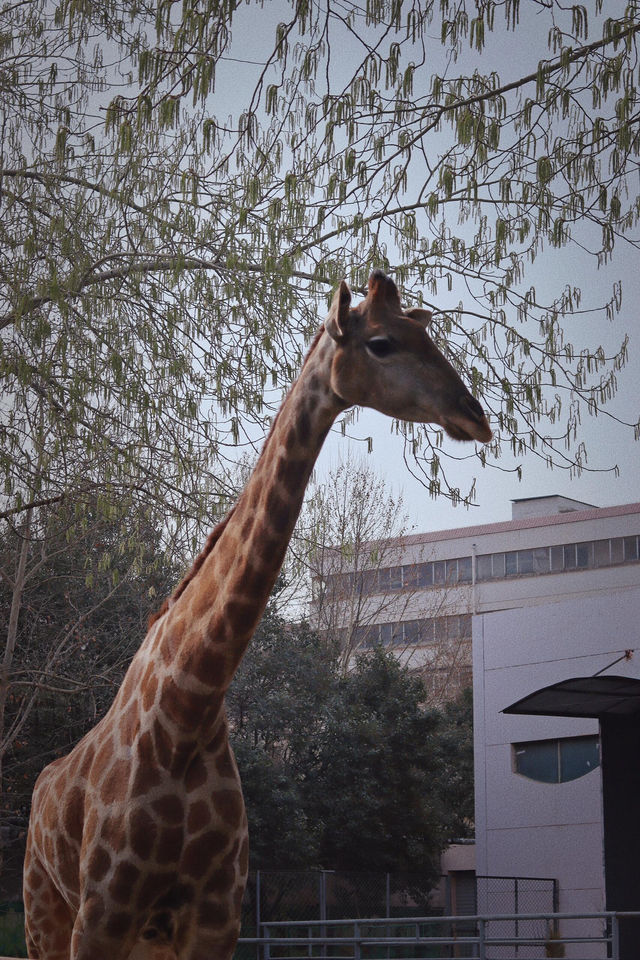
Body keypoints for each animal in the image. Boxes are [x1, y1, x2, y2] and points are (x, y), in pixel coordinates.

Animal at [21, 272, 490, 960]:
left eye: (426, 334)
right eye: (381, 342)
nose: (473, 415)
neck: (188, 708)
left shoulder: (217, 917)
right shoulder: (101, 916)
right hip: (43, 912)